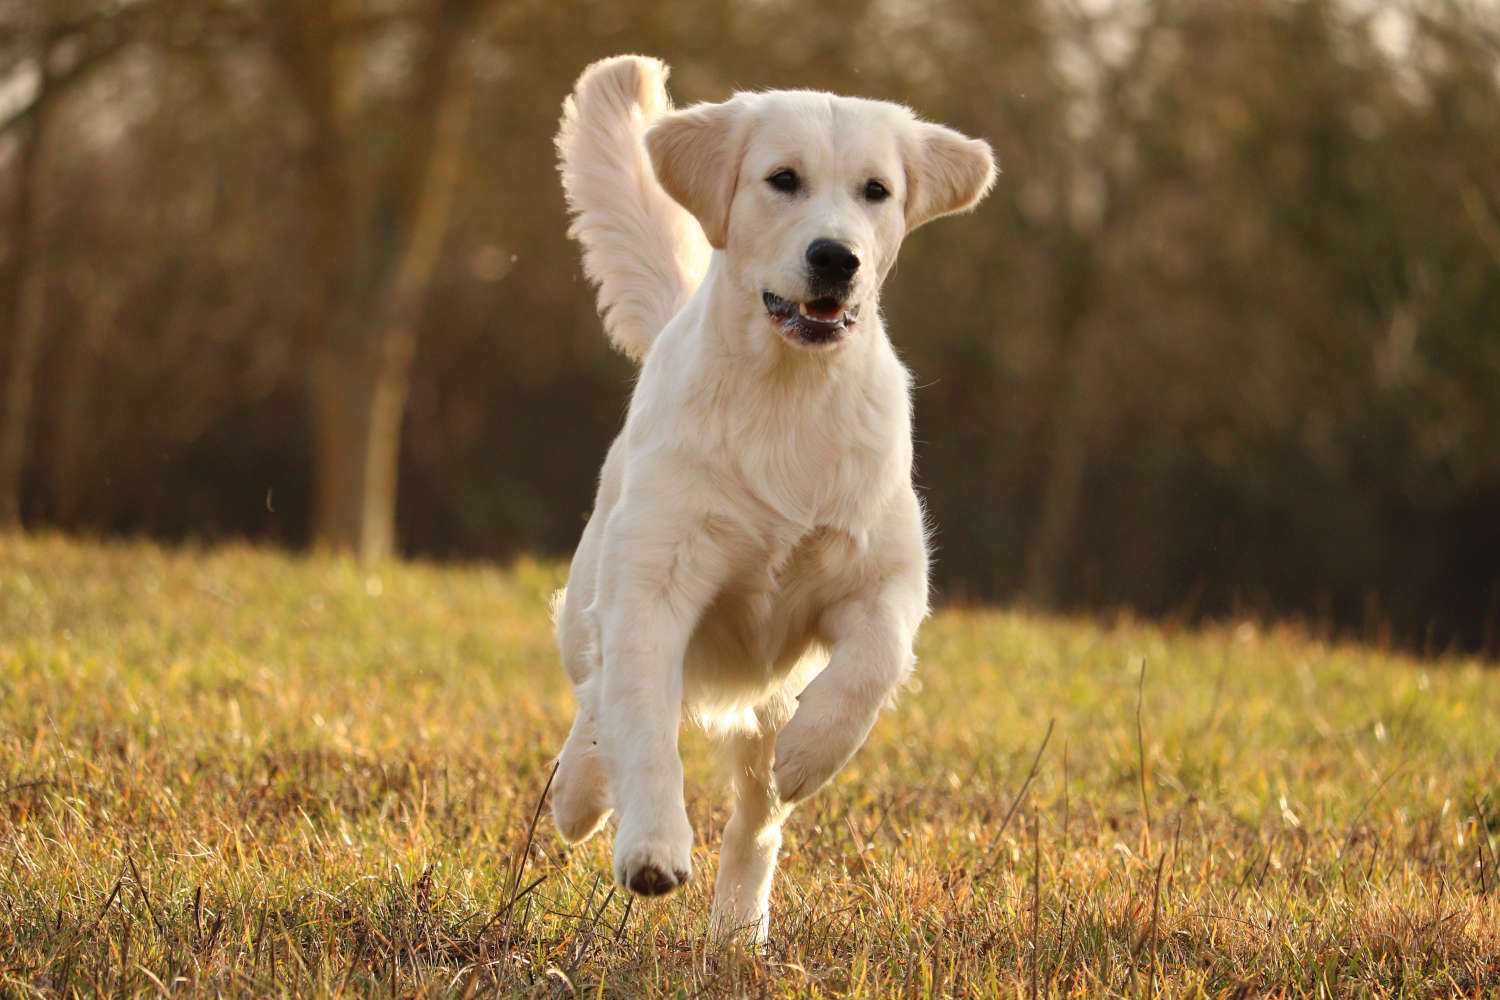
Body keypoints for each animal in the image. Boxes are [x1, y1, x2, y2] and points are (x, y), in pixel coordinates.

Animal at [552, 54, 996, 941]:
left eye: (875, 190)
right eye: (782, 179)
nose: (836, 257)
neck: (788, 391)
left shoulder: (887, 573)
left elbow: (872, 664)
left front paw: (810, 753)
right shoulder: (653, 584)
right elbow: (641, 724)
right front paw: (650, 849)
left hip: (763, 698)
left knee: (755, 821)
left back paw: (736, 931)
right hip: (593, 595)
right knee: (596, 699)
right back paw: (579, 798)